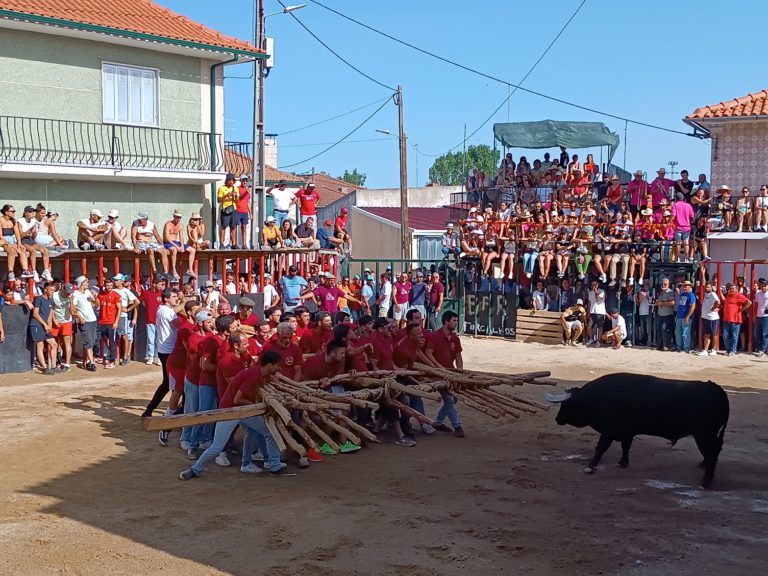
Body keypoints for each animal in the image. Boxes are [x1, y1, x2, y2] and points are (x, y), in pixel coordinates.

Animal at [544, 374, 732, 486]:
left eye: (565, 405)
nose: (557, 419)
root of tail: (715, 388)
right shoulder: (626, 432)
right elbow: (626, 446)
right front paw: (622, 463)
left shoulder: (609, 430)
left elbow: (600, 448)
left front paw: (590, 467)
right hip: (710, 436)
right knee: (714, 453)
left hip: (704, 435)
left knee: (711, 455)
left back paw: (705, 481)